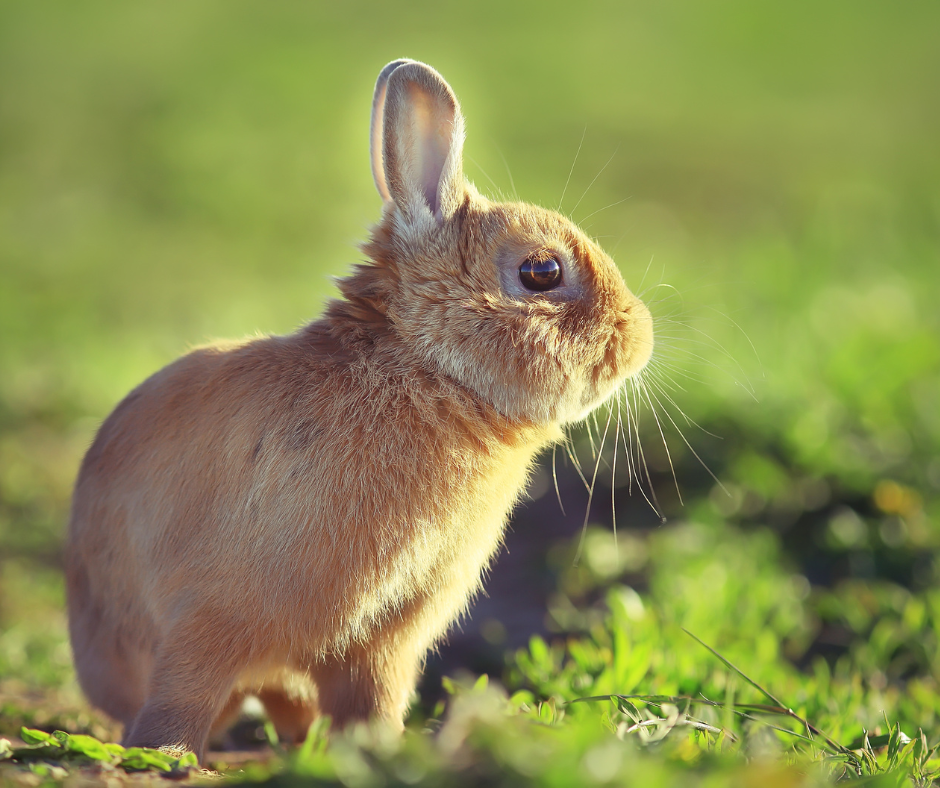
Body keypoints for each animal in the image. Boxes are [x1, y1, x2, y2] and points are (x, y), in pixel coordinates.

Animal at [64, 58, 652, 760]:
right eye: (542, 272)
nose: (641, 337)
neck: (425, 371)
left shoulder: (387, 635)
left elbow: (371, 698)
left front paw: (382, 750)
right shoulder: (213, 611)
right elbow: (187, 684)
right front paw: (165, 754)